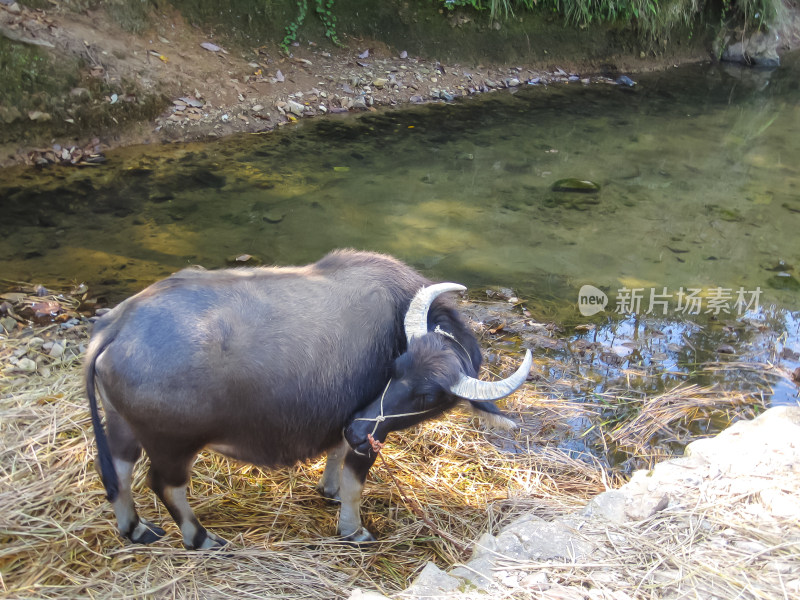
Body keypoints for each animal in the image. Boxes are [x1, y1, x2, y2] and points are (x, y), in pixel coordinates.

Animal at [86, 248, 532, 548]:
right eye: (397, 368)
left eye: (426, 392)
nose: (359, 430)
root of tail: (119, 323)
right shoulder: (372, 434)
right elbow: (354, 482)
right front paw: (353, 529)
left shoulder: (348, 419)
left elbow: (336, 454)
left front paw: (328, 489)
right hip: (172, 445)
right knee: (165, 485)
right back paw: (202, 538)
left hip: (121, 425)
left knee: (119, 471)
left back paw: (136, 528)